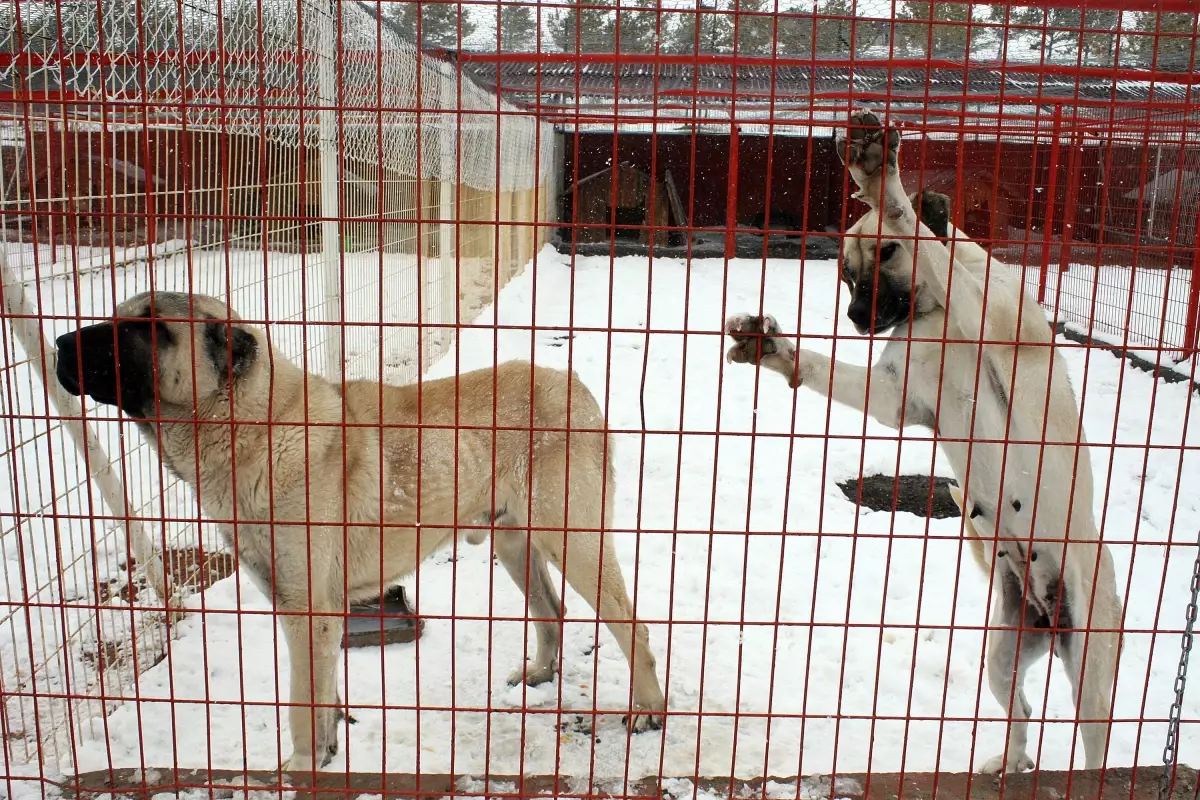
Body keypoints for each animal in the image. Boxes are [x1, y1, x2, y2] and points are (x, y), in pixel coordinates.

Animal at [54, 292, 667, 777]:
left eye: (147, 327)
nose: (59, 343)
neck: (253, 426)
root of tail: (575, 386)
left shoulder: (309, 612)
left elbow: (303, 704)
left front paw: (302, 767)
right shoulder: (304, 611)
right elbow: (324, 695)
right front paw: (327, 753)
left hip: (575, 540)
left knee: (631, 625)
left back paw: (648, 711)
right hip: (516, 543)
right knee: (552, 611)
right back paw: (541, 672)